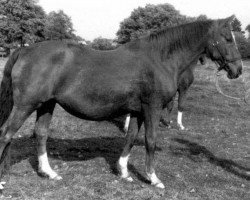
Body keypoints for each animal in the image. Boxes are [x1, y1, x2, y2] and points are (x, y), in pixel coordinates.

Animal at [0, 16, 241, 189]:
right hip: (25, 105)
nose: (237, 70)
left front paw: (124, 172)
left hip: (46, 105)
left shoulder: (137, 111)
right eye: (228, 38)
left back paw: (49, 173)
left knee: (40, 134)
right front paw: (153, 178)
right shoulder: (152, 108)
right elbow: (150, 140)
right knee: (6, 134)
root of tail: (25, 49)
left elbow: (131, 137)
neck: (160, 59)